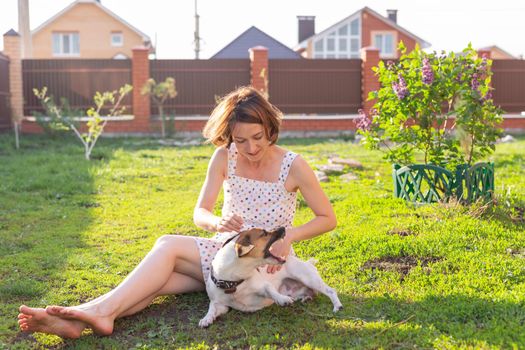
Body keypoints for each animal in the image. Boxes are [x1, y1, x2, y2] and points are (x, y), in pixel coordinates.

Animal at [199, 227, 342, 328]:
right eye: (264, 233)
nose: (283, 228)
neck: (234, 282)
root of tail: (308, 263)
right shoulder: (220, 304)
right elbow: (212, 308)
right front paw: (206, 318)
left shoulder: (263, 286)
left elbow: (271, 291)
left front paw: (282, 299)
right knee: (312, 294)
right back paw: (306, 298)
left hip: (308, 278)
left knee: (330, 291)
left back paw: (337, 306)